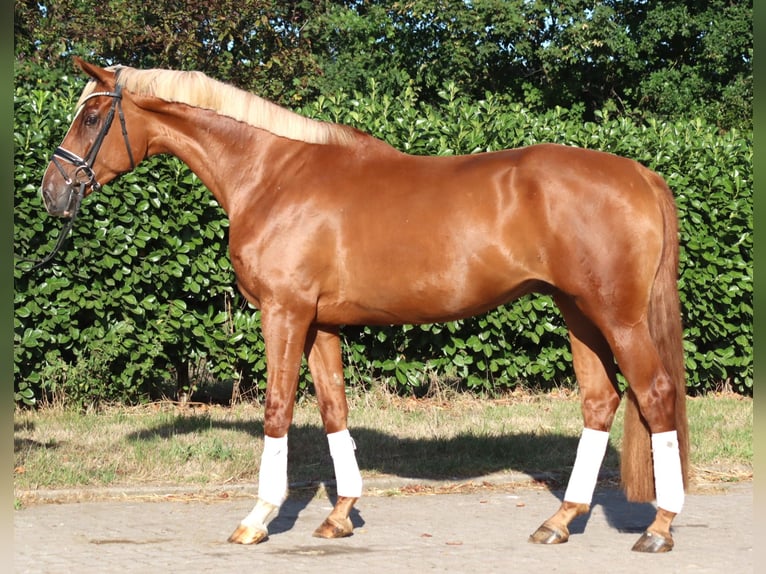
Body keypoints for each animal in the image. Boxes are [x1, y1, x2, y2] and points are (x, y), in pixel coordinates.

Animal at [40, 58, 689, 553]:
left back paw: (659, 528)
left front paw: (257, 519)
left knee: (655, 395)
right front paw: (339, 515)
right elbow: (334, 410)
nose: (52, 192)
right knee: (600, 402)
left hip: (618, 317)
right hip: (578, 312)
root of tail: (639, 173)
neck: (271, 175)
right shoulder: (319, 323)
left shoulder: (283, 313)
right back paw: (559, 521)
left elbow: (277, 409)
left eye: (92, 116)